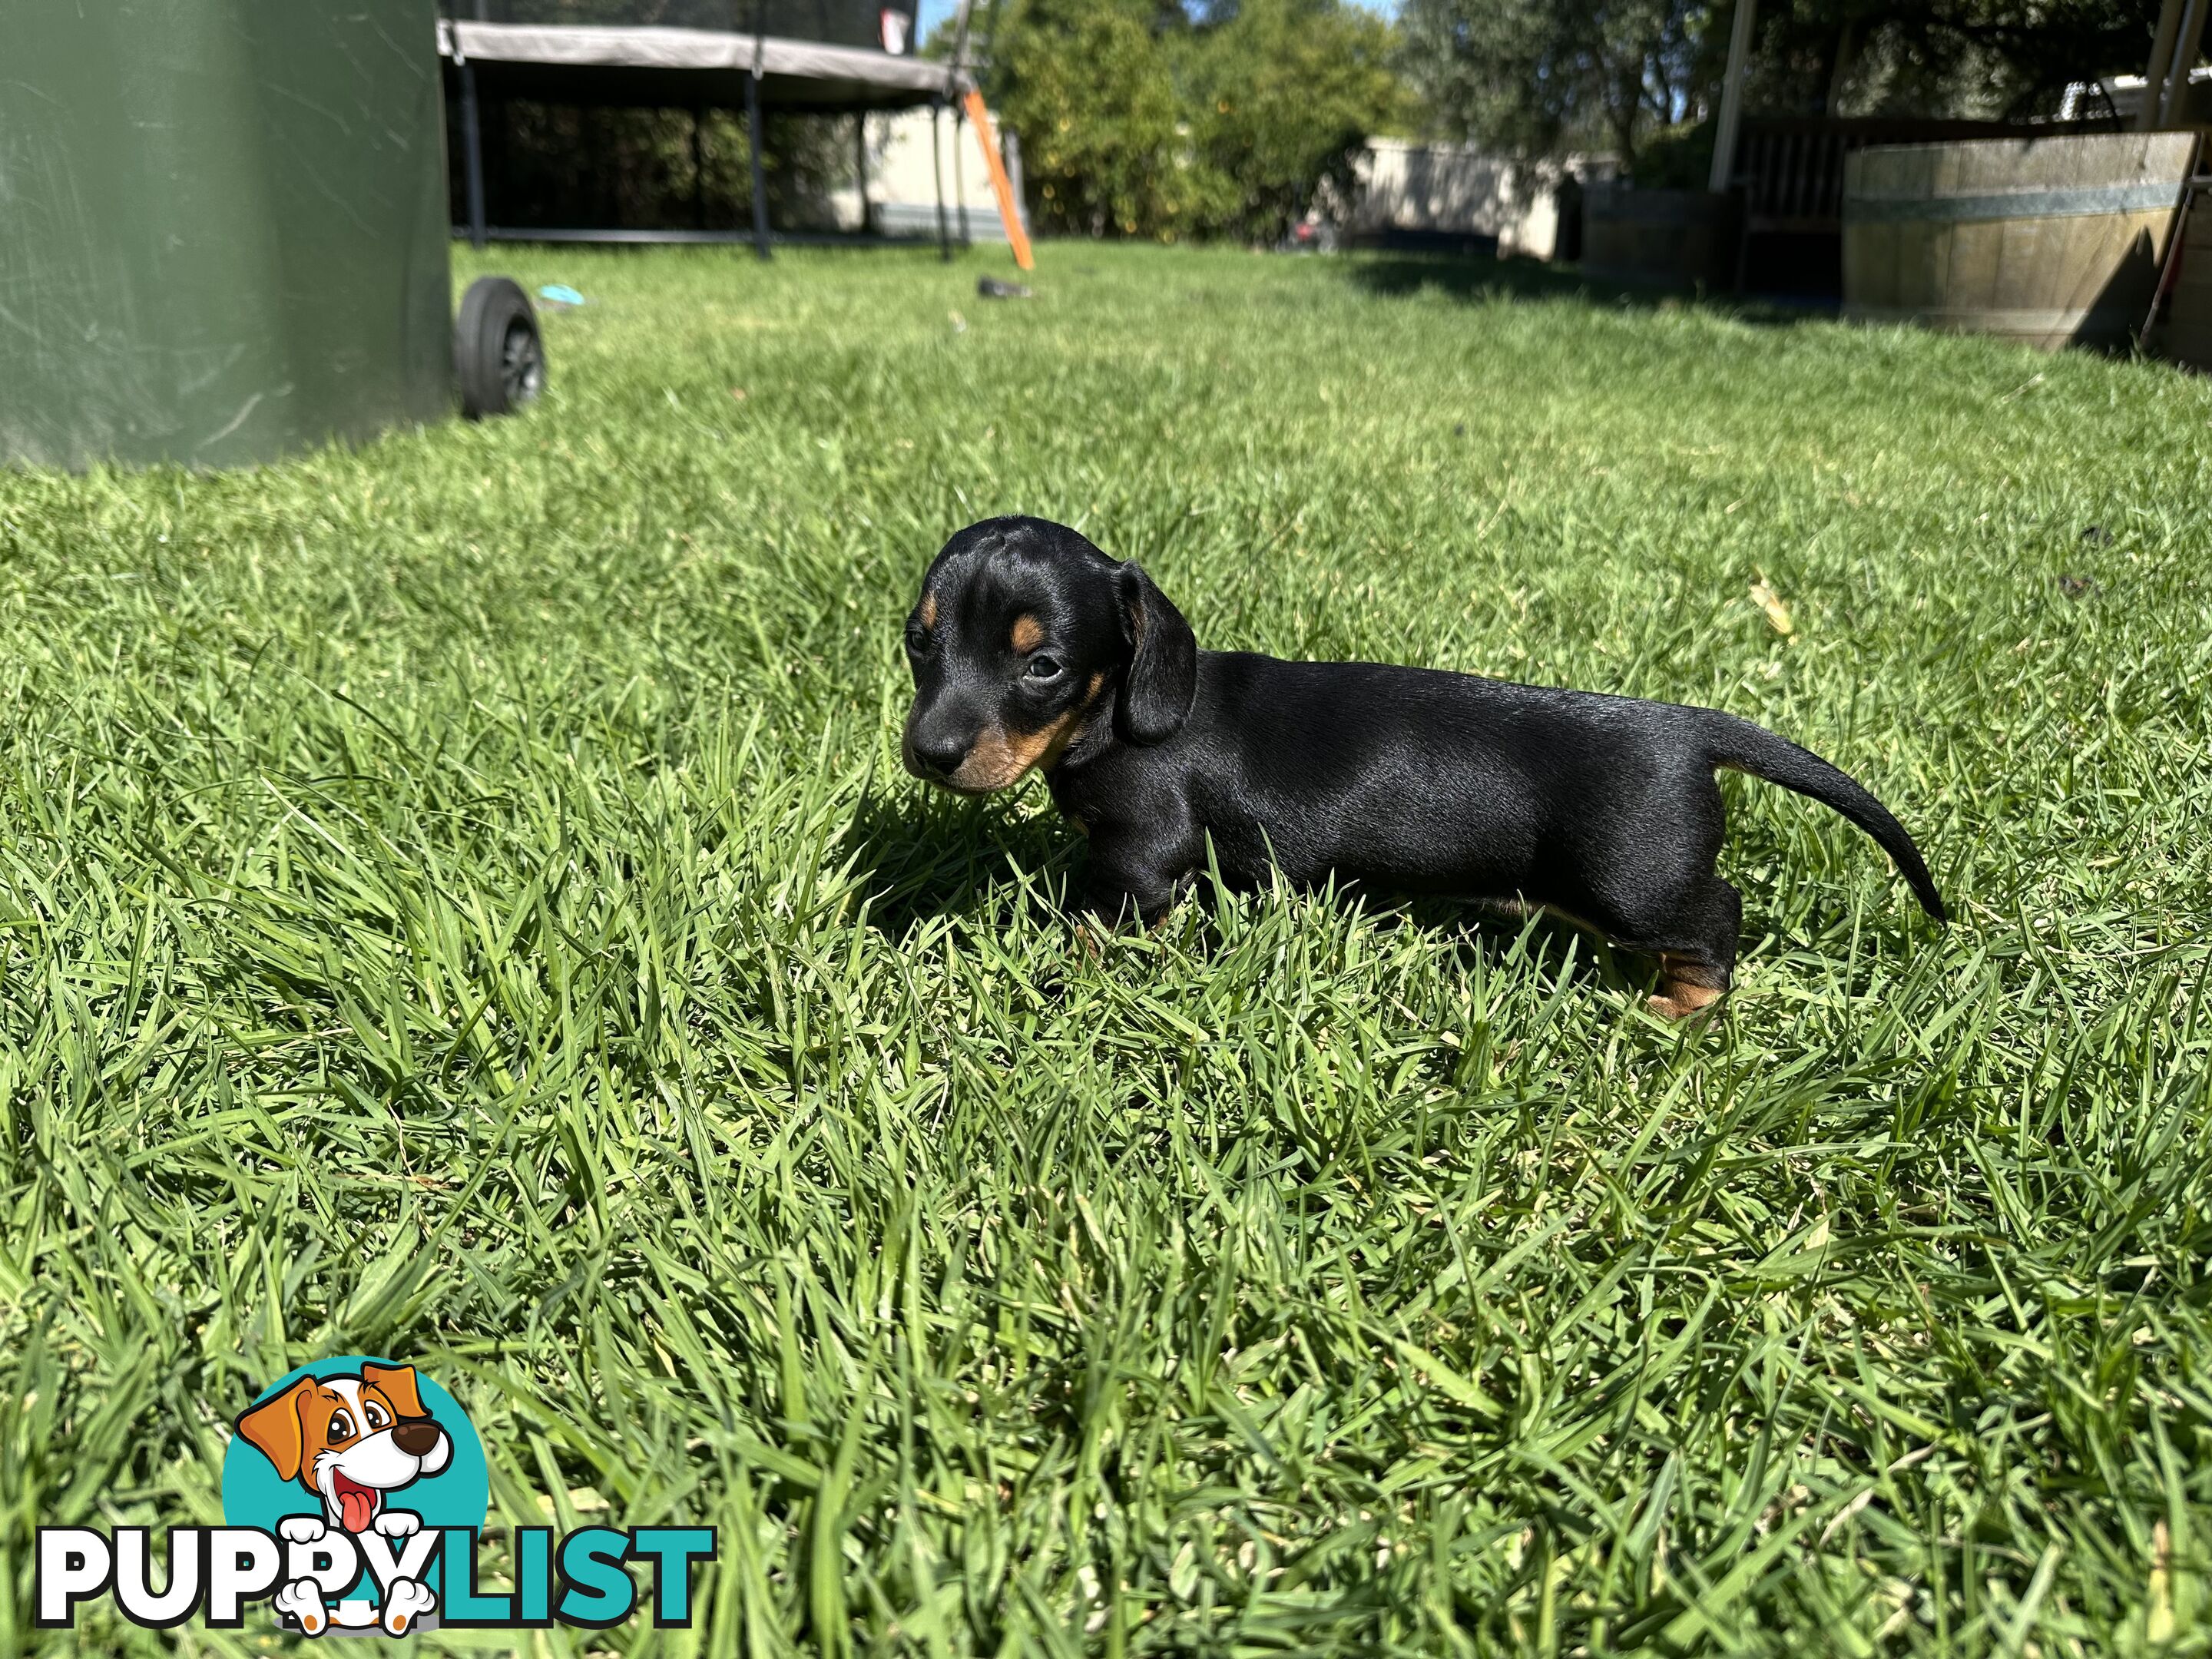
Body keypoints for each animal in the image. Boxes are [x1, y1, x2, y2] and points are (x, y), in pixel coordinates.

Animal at [898, 513, 1937, 1022]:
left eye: (1042, 665)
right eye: (919, 642)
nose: (928, 754)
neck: (1110, 714)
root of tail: (1691, 730)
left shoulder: (1140, 858)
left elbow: (1098, 930)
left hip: (1630, 885)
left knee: (1717, 918)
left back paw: (1678, 1010)